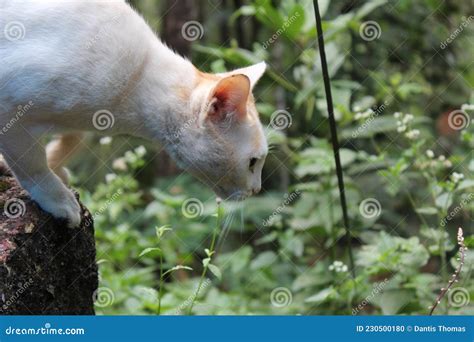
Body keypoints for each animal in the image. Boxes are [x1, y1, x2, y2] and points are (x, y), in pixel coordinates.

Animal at [0, 0, 266, 227]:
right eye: (253, 162)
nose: (257, 190)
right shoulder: (11, 108)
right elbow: (33, 164)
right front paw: (58, 199)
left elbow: (72, 141)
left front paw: (55, 167)